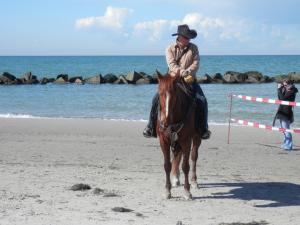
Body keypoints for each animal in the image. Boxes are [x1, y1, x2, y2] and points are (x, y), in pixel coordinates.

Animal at [157, 71, 202, 200]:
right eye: (159, 93)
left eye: (175, 95)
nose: (164, 122)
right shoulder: (163, 141)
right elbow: (167, 165)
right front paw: (167, 190)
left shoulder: (186, 141)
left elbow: (185, 166)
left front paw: (187, 191)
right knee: (177, 156)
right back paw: (175, 179)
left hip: (196, 138)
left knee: (193, 157)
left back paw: (194, 181)